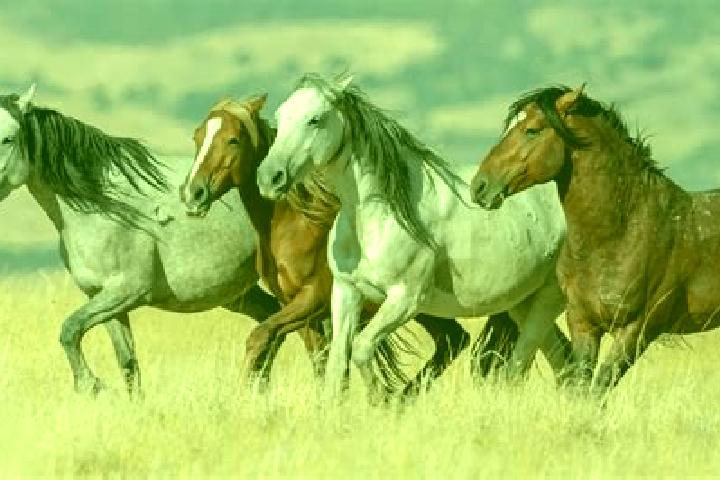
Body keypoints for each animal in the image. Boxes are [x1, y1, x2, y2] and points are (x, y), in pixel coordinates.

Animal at [0, 84, 297, 395]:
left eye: (8, 138)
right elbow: (128, 363)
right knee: (270, 320)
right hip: (237, 293)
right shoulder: (103, 298)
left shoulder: (127, 291)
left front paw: (90, 384)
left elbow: (69, 329)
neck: (103, 206)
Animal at [178, 95, 520, 394]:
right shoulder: (299, 309)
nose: (193, 193)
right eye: (197, 137)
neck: (294, 225)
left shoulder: (312, 299)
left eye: (233, 139)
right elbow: (318, 361)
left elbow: (261, 337)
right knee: (453, 341)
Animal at [255, 73, 572, 399]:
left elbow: (362, 348)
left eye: (315, 119)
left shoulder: (404, 299)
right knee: (561, 357)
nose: (269, 178)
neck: (378, 218)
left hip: (548, 299)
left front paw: (383, 400)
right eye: (280, 118)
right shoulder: (346, 292)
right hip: (521, 302)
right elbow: (337, 366)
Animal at [471, 85, 720, 394]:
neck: (619, 235)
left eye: (532, 130)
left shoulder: (636, 330)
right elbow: (581, 387)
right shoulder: (583, 324)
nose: (479, 186)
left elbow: (598, 389)